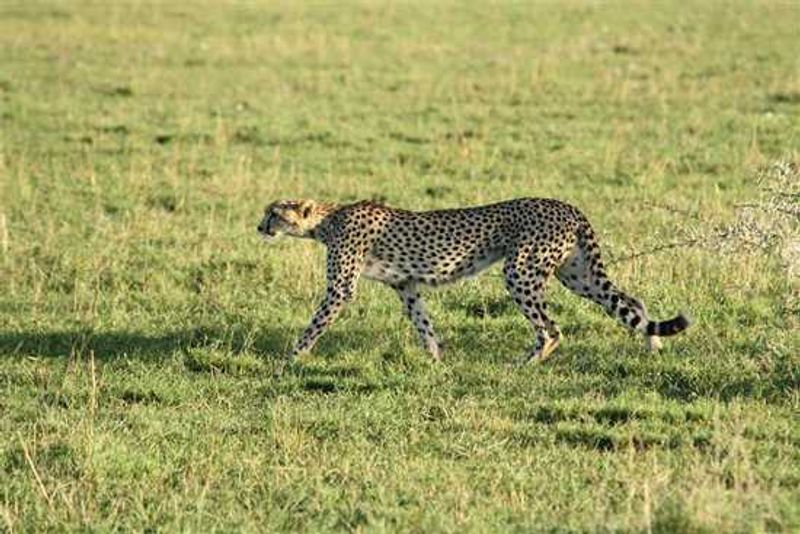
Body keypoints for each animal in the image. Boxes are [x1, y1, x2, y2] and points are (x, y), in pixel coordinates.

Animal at [257, 198, 690, 363]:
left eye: (274, 212)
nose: (259, 227)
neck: (326, 221)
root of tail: (566, 206)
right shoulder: (407, 287)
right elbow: (423, 324)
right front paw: (436, 360)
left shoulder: (341, 288)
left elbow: (316, 322)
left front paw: (292, 357)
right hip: (577, 274)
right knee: (632, 302)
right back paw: (653, 346)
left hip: (521, 271)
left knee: (552, 329)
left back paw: (524, 365)